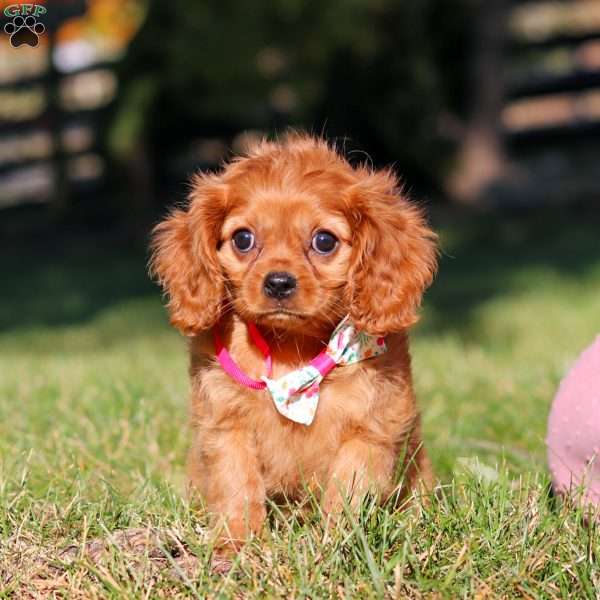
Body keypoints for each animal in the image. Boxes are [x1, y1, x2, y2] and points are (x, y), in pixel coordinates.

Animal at [152, 134, 438, 552]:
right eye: (243, 239)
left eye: (324, 241)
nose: (278, 283)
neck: (290, 350)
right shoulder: (226, 424)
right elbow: (237, 482)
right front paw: (238, 542)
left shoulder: (371, 429)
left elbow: (348, 487)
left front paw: (334, 543)